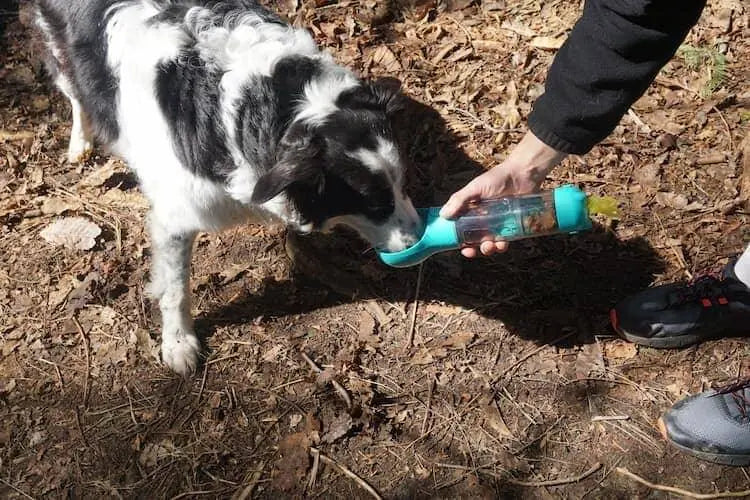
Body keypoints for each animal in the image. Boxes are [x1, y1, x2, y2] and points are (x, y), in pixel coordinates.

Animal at [36, 0, 424, 376]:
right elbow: (175, 288)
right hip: (59, 45)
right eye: (375, 204)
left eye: (404, 183)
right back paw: (80, 141)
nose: (420, 239)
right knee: (75, 92)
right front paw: (178, 343)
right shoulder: (176, 215)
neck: (263, 108)